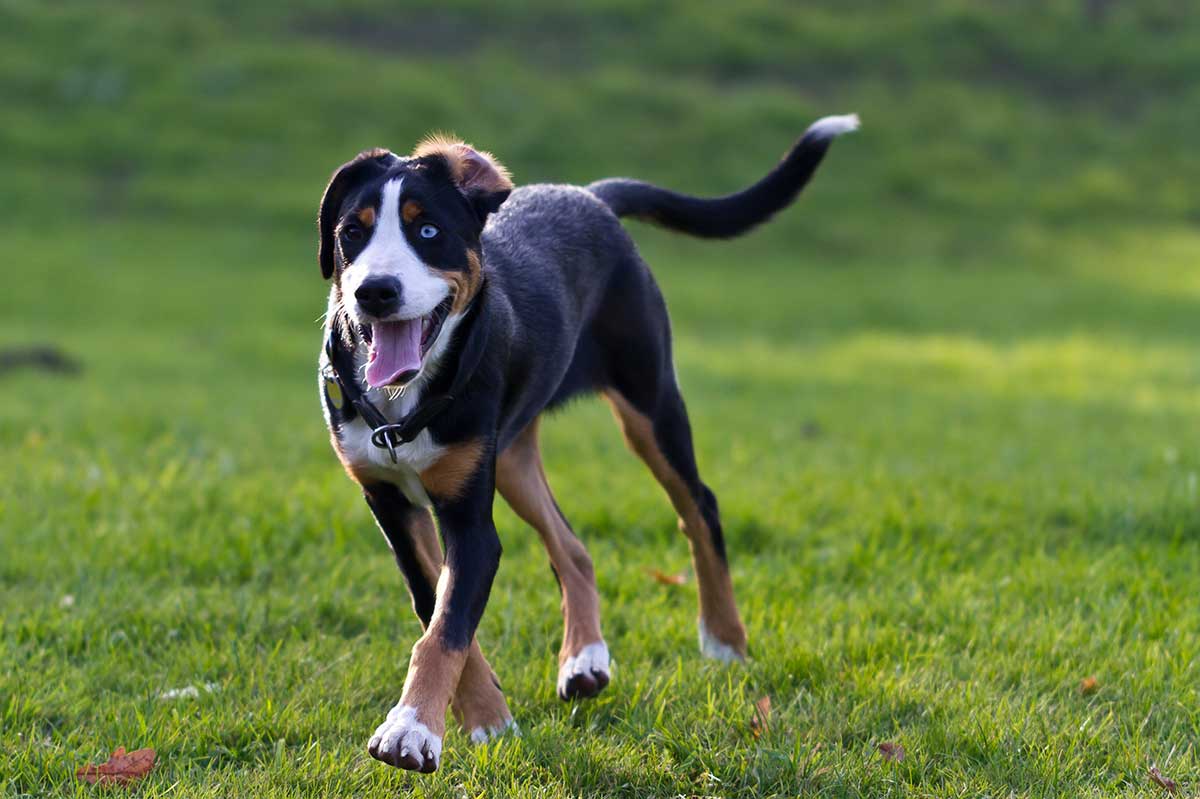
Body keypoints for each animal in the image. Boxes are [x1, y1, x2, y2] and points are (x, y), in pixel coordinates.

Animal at [316, 115, 864, 767]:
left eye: (428, 230)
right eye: (352, 233)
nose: (375, 291)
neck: (404, 408)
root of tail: (591, 195)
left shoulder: (471, 523)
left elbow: (446, 630)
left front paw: (414, 727)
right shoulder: (390, 505)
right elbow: (437, 609)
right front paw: (484, 714)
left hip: (650, 402)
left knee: (698, 507)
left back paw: (724, 640)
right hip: (513, 456)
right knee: (572, 547)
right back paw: (584, 662)